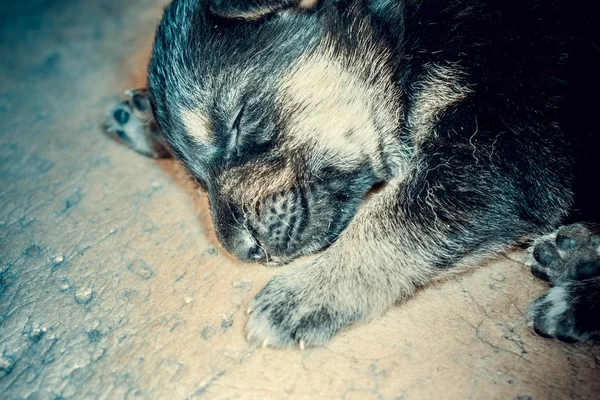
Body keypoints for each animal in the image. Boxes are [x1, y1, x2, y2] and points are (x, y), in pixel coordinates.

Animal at [104, 0, 600, 346]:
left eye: (239, 121)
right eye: (194, 178)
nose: (244, 251)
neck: (401, 34)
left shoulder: (505, 143)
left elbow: (396, 217)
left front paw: (311, 290)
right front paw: (147, 117)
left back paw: (573, 297)